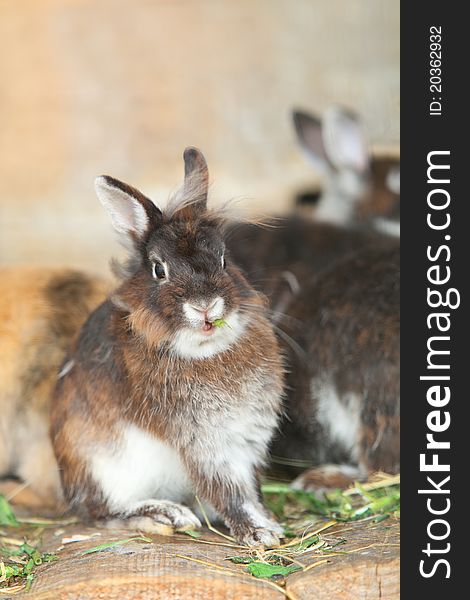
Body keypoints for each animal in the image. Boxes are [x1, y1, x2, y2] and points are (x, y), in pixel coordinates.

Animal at [50, 148, 284, 548]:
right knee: (100, 513)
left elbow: (249, 488)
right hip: (100, 465)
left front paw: (267, 521)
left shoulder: (247, 438)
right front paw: (259, 534)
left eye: (224, 260)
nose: (205, 305)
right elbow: (229, 489)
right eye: (160, 270)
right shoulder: (203, 441)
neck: (204, 351)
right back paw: (164, 514)